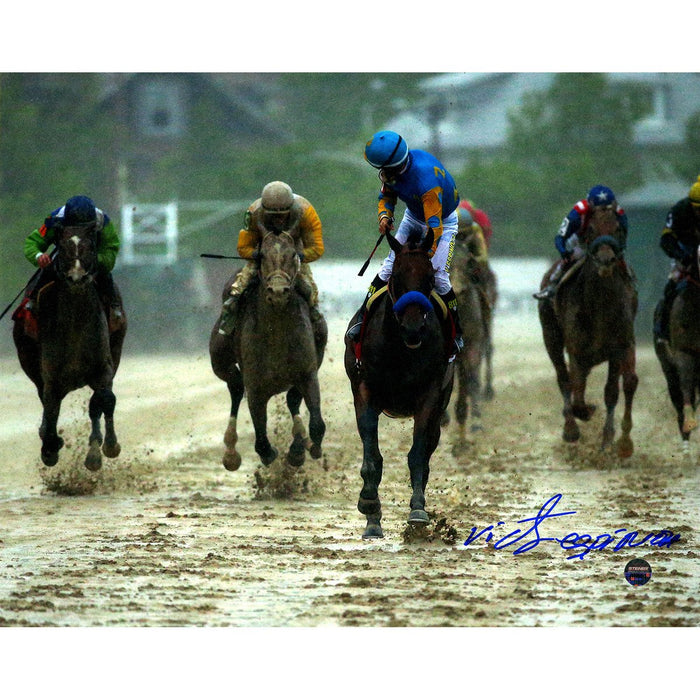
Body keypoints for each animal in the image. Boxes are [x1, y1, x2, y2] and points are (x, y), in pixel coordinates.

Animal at [12, 224, 127, 470]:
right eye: (63, 248)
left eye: (90, 246)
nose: (77, 276)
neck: (76, 323)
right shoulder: (51, 376)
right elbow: (51, 410)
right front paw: (50, 447)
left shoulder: (103, 367)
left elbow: (104, 400)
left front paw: (104, 448)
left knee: (99, 403)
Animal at [209, 232, 326, 474]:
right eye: (261, 256)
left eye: (293, 255)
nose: (278, 291)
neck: (277, 332)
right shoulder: (256, 385)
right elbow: (261, 439)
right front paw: (270, 454)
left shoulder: (307, 373)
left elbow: (316, 423)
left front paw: (303, 449)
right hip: (220, 359)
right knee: (235, 387)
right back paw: (231, 452)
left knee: (291, 399)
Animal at [344, 232, 454, 540]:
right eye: (397, 276)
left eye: (430, 278)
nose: (413, 329)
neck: (399, 350)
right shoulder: (365, 390)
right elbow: (372, 456)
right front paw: (370, 505)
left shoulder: (429, 394)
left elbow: (417, 455)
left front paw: (418, 511)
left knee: (427, 452)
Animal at [536, 232, 640, 456]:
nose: (606, 261)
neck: (600, 307)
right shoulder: (577, 349)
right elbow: (575, 388)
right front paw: (583, 415)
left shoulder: (619, 347)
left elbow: (613, 390)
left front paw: (612, 441)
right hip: (551, 335)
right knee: (564, 378)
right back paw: (571, 428)